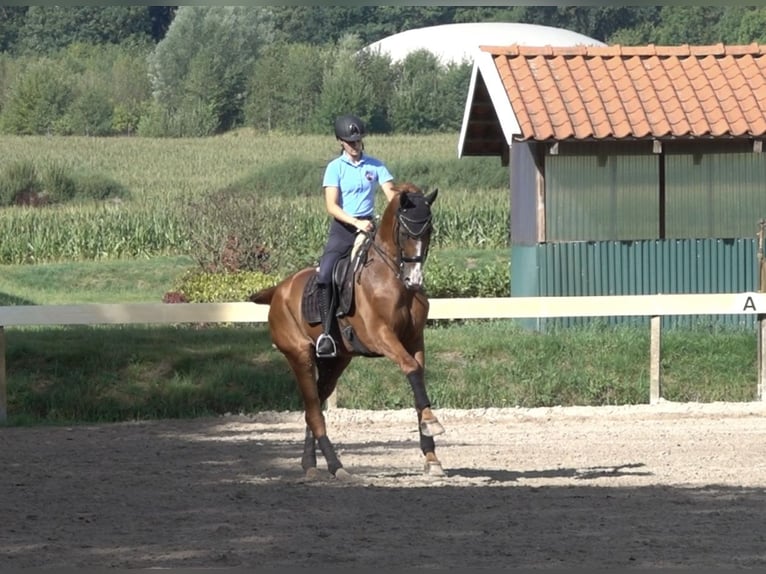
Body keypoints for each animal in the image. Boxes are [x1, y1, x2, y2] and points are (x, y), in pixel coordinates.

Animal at [252, 183, 444, 482]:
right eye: (405, 231)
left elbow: (418, 383)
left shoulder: (414, 340)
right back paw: (336, 466)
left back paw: (310, 464)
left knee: (314, 407)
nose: (414, 280)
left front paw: (431, 454)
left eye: (429, 230)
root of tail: (279, 290)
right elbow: (411, 369)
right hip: (299, 355)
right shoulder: (380, 336)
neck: (392, 278)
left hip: (336, 362)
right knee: (313, 411)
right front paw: (433, 424)